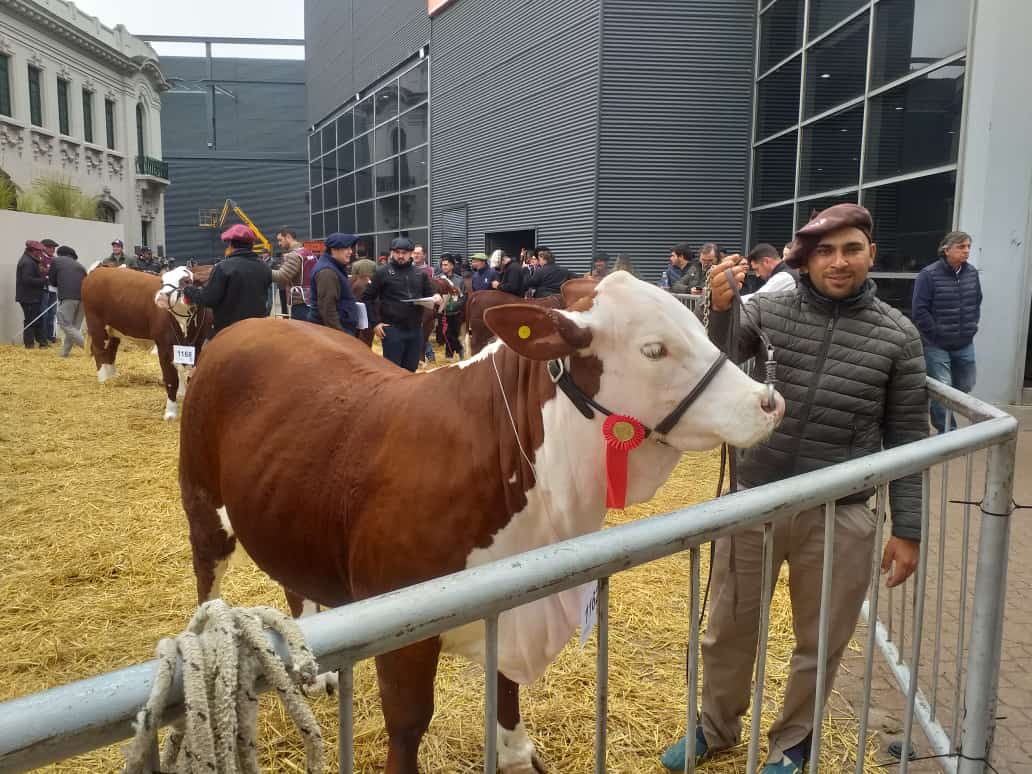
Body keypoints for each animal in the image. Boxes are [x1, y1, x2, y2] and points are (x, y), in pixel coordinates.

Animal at [80, 268, 211, 425]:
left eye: (186, 281)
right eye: (162, 281)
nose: (162, 296)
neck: (184, 324)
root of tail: (99, 270)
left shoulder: (198, 345)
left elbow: (188, 374)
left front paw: (183, 395)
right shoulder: (164, 347)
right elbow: (171, 379)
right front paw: (171, 412)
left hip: (114, 328)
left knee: (110, 350)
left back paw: (113, 377)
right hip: (96, 324)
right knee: (99, 350)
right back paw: (103, 379)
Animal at [181, 270, 784, 771]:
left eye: (700, 326)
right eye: (654, 349)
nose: (768, 401)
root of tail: (252, 324)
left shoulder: (511, 601)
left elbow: (506, 690)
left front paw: (515, 754)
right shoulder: (401, 628)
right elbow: (409, 724)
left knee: (294, 580)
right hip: (202, 505)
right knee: (208, 581)